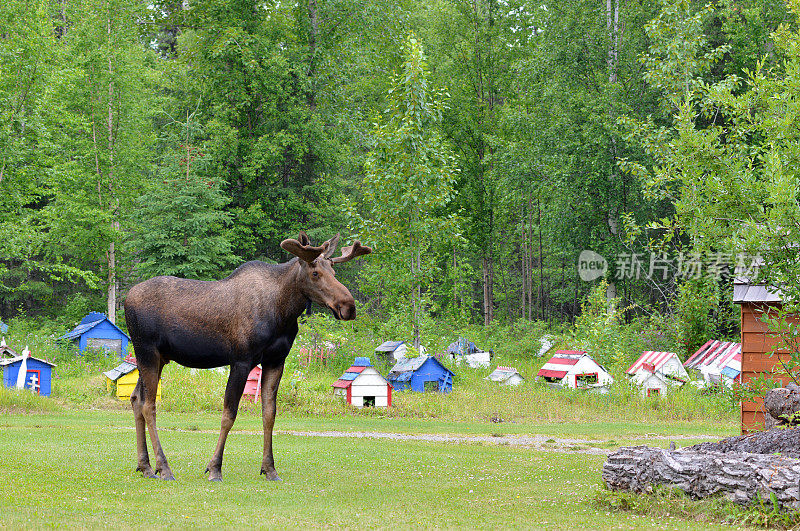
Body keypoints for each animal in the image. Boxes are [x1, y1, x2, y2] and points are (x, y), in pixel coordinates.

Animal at [123, 233, 370, 482]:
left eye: (333, 271)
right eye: (315, 273)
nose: (349, 306)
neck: (283, 311)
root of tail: (126, 299)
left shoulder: (275, 360)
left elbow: (269, 414)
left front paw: (269, 468)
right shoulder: (241, 360)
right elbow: (228, 415)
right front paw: (215, 468)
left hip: (159, 358)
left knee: (135, 398)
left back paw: (145, 466)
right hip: (147, 351)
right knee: (149, 405)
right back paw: (163, 467)